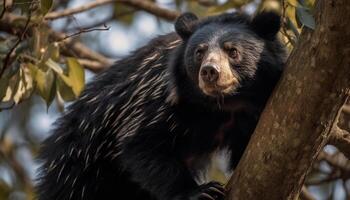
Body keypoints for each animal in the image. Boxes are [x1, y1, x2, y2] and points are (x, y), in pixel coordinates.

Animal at [37, 11, 286, 200]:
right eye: (199, 52)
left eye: (232, 51)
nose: (209, 72)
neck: (223, 105)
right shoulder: (157, 102)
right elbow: (142, 145)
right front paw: (200, 192)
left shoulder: (254, 113)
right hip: (80, 171)